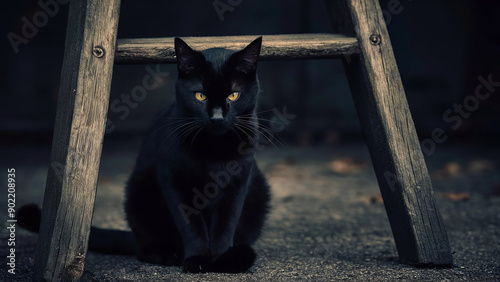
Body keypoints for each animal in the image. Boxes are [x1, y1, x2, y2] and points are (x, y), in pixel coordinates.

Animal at [18, 37, 270, 274]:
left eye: (233, 95)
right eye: (200, 96)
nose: (217, 117)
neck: (213, 148)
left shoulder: (239, 181)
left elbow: (226, 223)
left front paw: (221, 260)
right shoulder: (174, 178)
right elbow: (191, 225)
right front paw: (198, 259)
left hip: (259, 187)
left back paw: (241, 255)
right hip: (139, 188)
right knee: (144, 248)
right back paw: (169, 253)